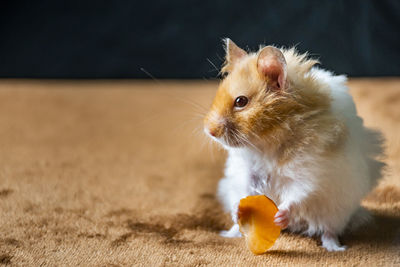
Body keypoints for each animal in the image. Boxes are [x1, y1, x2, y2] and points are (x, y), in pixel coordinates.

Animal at [203, 38, 384, 252]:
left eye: (241, 101)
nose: (209, 131)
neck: (267, 143)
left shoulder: (310, 173)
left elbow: (298, 195)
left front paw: (279, 216)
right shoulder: (247, 172)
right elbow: (245, 190)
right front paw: (236, 209)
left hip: (336, 210)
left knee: (329, 230)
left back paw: (335, 248)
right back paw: (228, 233)